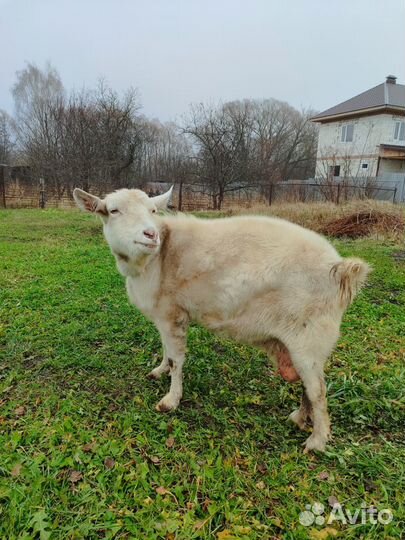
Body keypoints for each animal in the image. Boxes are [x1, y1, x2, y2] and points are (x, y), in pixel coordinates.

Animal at [73, 186, 370, 452]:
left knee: (318, 390)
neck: (157, 258)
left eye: (153, 210)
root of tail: (340, 270)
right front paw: (159, 370)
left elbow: (177, 359)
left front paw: (171, 400)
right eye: (113, 211)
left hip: (311, 337)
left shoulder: (173, 314)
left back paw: (316, 441)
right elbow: (166, 350)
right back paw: (299, 418)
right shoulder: (164, 316)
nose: (151, 234)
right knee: (309, 386)